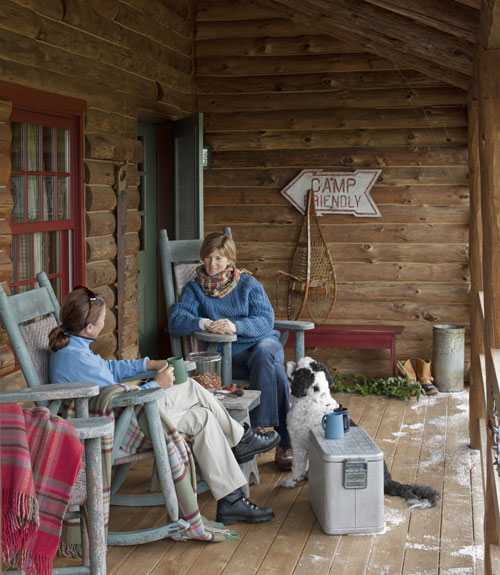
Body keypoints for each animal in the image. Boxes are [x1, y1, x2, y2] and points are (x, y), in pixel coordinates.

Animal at [284, 358, 440, 510]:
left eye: (298, 370)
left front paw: (291, 481)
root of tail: (387, 481)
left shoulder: (298, 444)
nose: (291, 361)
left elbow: (297, 466)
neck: (314, 398)